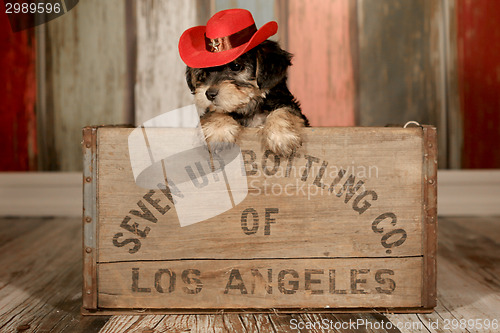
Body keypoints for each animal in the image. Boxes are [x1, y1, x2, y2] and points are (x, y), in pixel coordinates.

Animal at [178, 7, 306, 156]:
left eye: (236, 66)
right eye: (205, 72)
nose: (209, 94)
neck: (249, 108)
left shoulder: (290, 107)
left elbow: (284, 110)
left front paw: (281, 135)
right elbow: (214, 112)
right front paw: (218, 130)